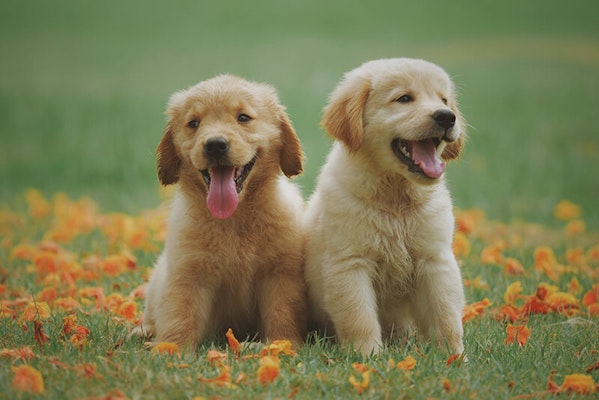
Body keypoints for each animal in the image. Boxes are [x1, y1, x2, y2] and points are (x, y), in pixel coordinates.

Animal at [133, 75, 308, 350]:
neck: (233, 219)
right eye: (194, 123)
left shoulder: (280, 273)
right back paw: (144, 331)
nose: (215, 145)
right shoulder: (188, 273)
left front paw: (282, 344)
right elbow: (180, 313)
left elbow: (283, 312)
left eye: (243, 118)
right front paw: (170, 348)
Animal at [304, 57, 468, 354]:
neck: (395, 198)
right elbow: (359, 317)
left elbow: (446, 315)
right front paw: (367, 356)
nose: (447, 117)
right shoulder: (350, 263)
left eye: (444, 100)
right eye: (404, 99)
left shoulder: (435, 260)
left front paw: (455, 356)